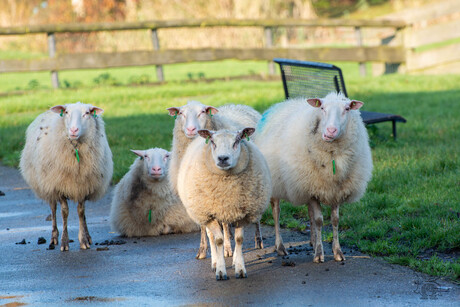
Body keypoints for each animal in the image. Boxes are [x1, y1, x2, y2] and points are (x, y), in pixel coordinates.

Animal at [19, 102, 113, 251]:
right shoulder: (59, 187)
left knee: (83, 214)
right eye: (67, 112)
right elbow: (64, 212)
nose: (74, 130)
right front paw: (64, 241)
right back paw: (54, 237)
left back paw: (88, 236)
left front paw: (84, 240)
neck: (75, 150)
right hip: (48, 186)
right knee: (53, 209)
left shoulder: (83, 186)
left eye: (87, 113)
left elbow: (81, 212)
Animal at [167, 101, 264, 260]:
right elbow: (204, 225)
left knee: (256, 215)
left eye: (203, 112)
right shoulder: (196, 195)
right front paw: (202, 249)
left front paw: (227, 249)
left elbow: (223, 224)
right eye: (181, 113)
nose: (191, 129)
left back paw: (258, 240)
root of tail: (239, 105)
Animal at [175, 128, 270, 282]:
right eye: (213, 142)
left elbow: (238, 239)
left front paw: (240, 268)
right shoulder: (209, 214)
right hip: (206, 214)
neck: (227, 189)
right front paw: (220, 270)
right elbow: (218, 240)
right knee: (211, 236)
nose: (223, 158)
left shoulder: (241, 213)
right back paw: (214, 262)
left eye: (237, 141)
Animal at [255, 92, 374, 264]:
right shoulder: (312, 189)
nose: (331, 131)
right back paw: (280, 247)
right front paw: (319, 254)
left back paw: (312, 241)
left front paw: (337, 252)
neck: (332, 156)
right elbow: (319, 220)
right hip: (276, 184)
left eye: (347, 109)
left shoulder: (333, 190)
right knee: (276, 213)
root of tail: (280, 104)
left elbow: (335, 220)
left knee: (309, 212)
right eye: (322, 108)